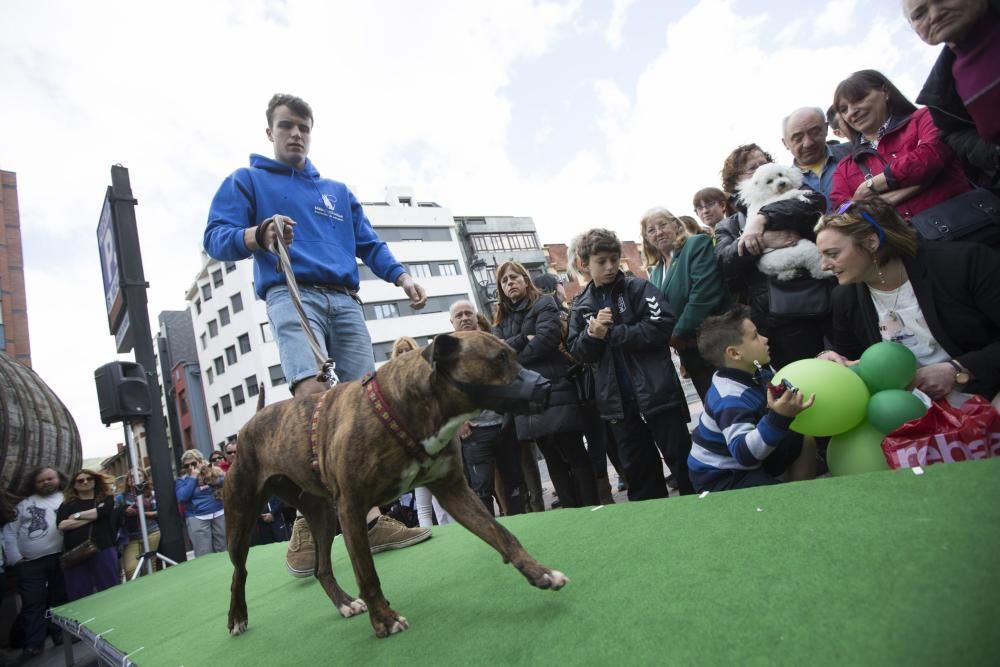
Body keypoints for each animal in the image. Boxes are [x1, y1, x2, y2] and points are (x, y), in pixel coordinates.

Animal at [228, 332, 572, 640]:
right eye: (499, 359)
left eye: (513, 354)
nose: (545, 386)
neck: (407, 407)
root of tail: (250, 423)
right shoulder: (351, 509)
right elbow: (367, 572)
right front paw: (384, 620)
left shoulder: (455, 492)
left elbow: (502, 535)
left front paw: (540, 572)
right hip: (242, 521)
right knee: (239, 573)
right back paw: (237, 617)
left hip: (322, 515)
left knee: (322, 567)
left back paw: (344, 603)